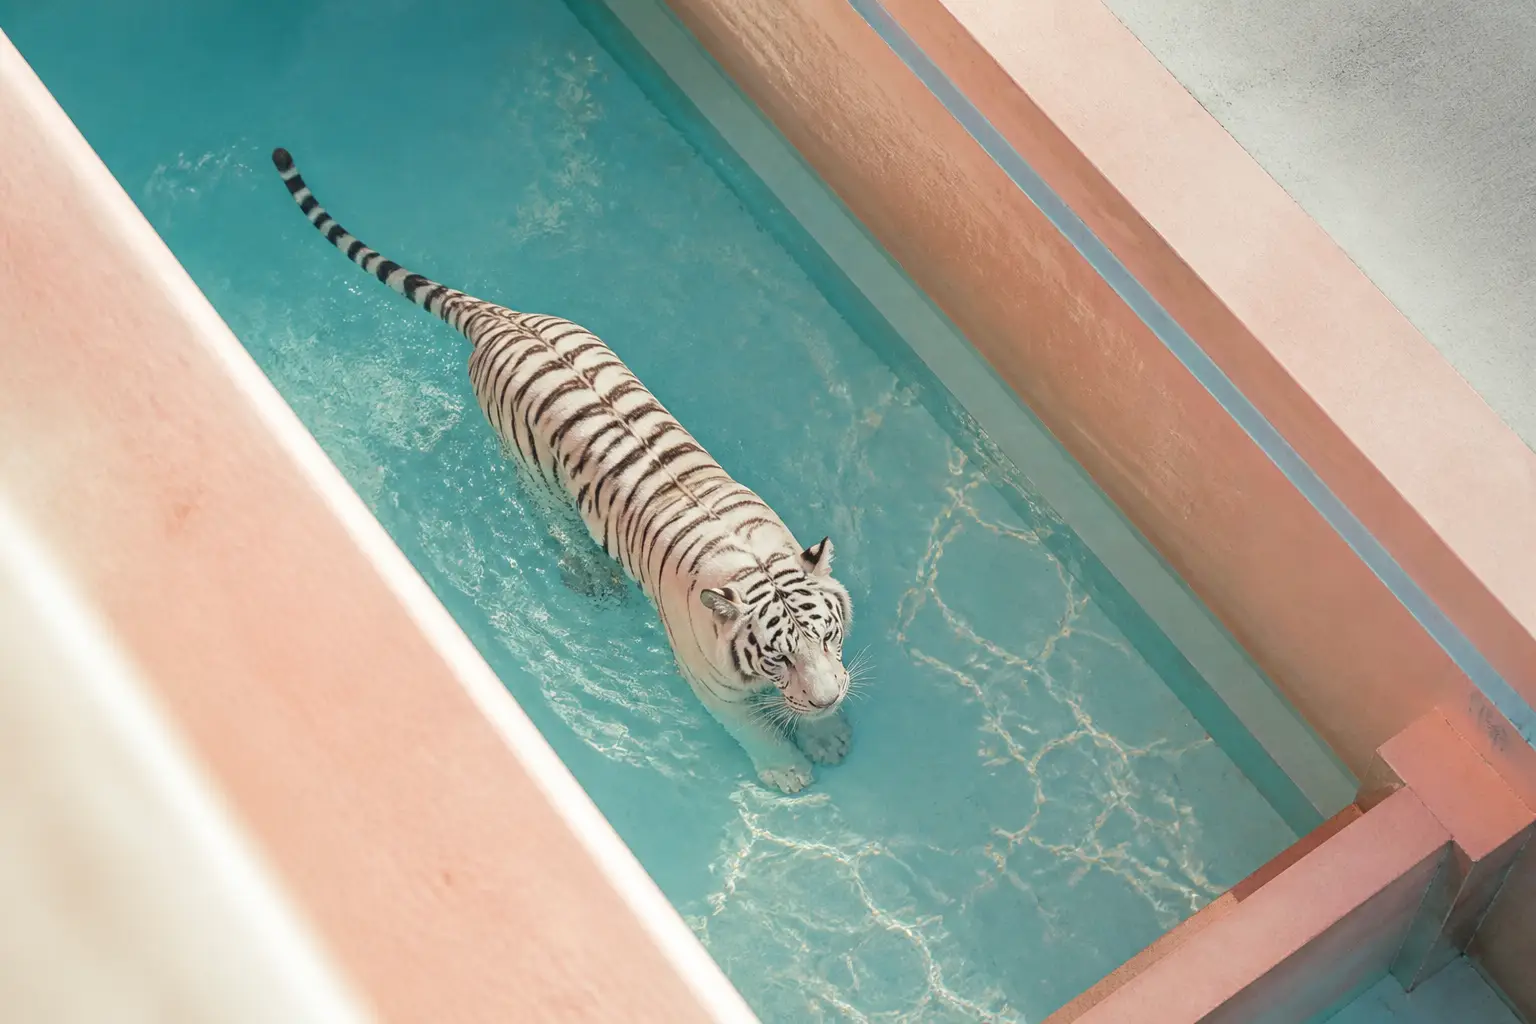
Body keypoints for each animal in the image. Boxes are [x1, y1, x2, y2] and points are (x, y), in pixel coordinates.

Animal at [270, 148, 854, 793]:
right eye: (777, 655)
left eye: (828, 635)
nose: (827, 698)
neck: (754, 564)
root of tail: (499, 316)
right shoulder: (711, 683)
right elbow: (751, 724)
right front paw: (788, 770)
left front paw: (827, 733)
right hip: (535, 476)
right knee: (555, 522)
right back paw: (594, 575)